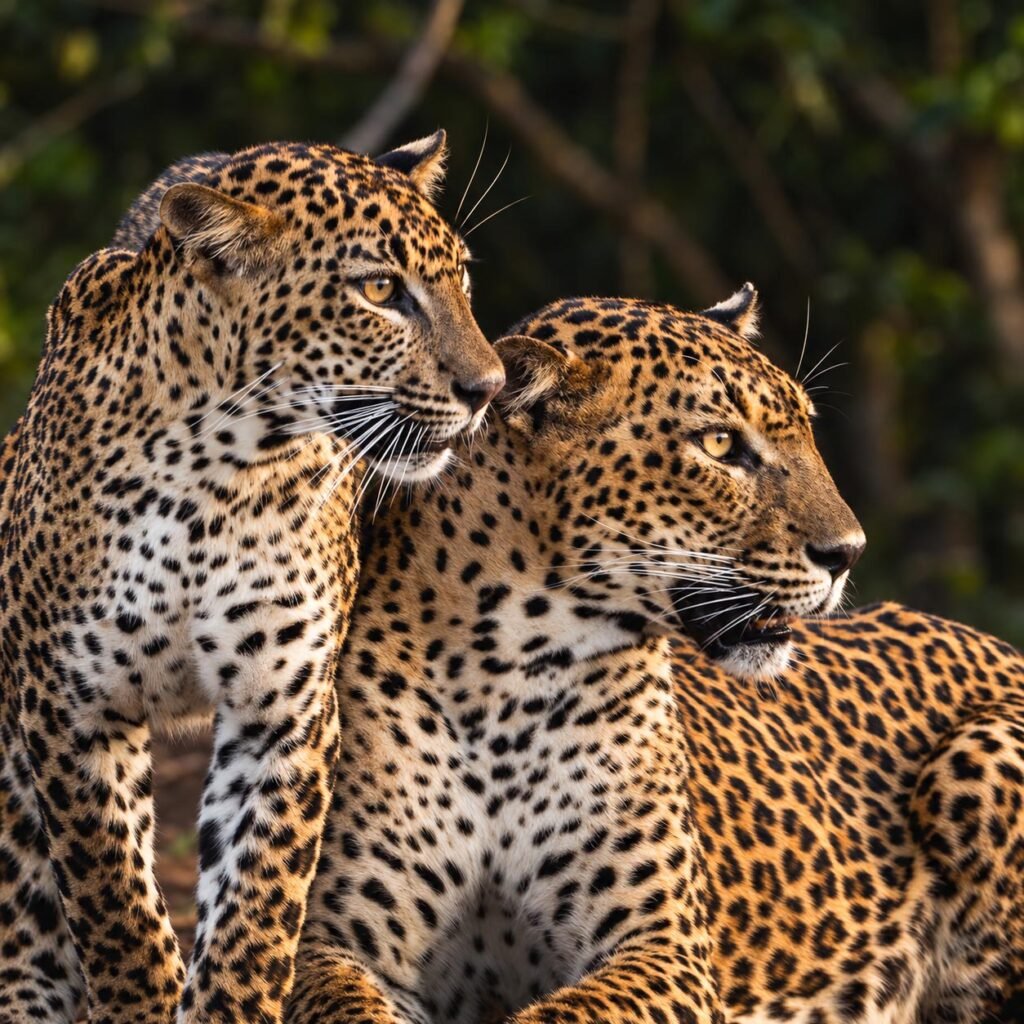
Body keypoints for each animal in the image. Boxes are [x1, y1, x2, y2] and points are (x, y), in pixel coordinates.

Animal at [0, 131, 505, 1024]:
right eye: (381, 290)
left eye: (462, 282)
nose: (489, 389)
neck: (217, 469)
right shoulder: (70, 708)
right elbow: (114, 904)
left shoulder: (284, 711)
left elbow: (255, 914)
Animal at [284, 288, 1024, 1024]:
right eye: (720, 443)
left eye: (805, 431)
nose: (849, 552)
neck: (507, 674)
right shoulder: (333, 941)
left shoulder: (664, 945)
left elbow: (566, 1011)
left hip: (981, 750)